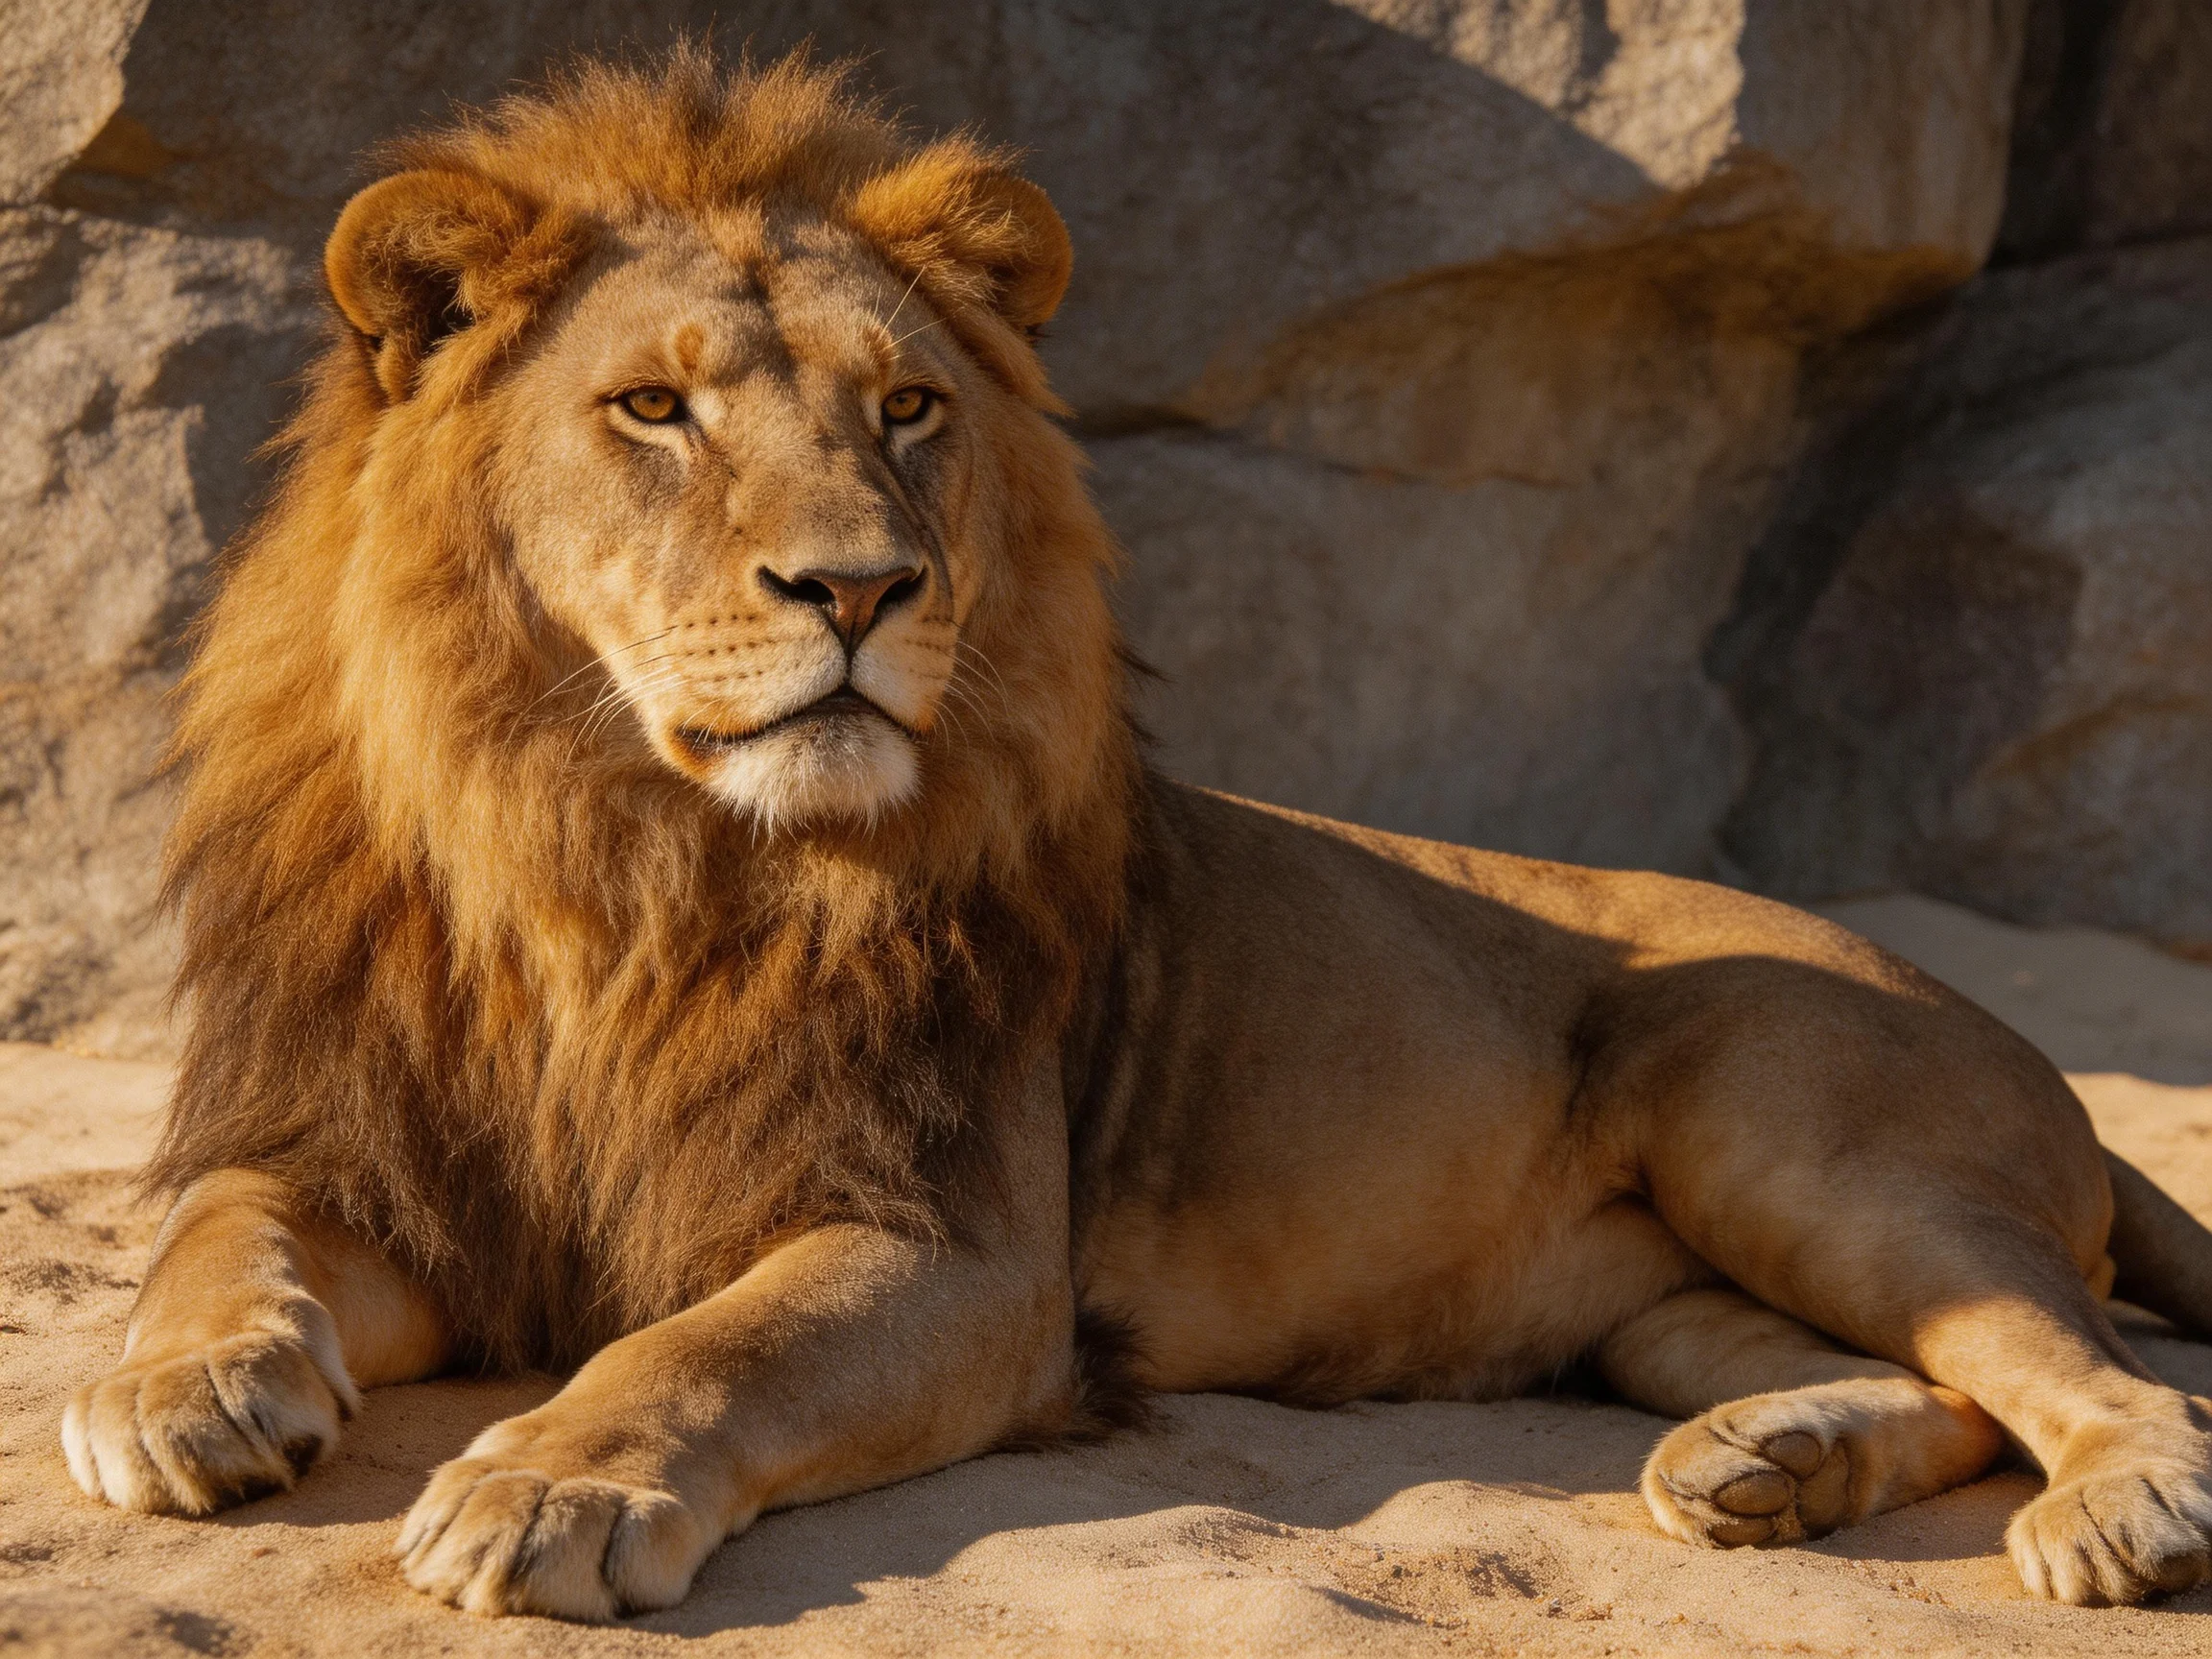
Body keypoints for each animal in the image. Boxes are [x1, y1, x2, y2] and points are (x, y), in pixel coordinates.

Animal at [61, 49, 2212, 1620]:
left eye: (909, 408)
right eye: (653, 410)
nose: (861, 588)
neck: (619, 858)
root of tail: (2034, 1056)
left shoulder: (953, 1252)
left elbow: (699, 1355)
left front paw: (544, 1486)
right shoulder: (379, 1155)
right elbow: (211, 1229)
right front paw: (176, 1388)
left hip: (1782, 1123)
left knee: (2099, 1364)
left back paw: (2120, 1516)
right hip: (1674, 1298)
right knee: (1950, 1376)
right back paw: (1770, 1460)